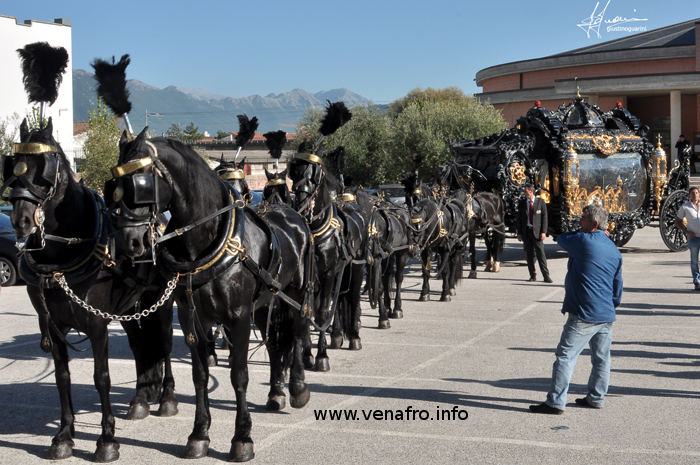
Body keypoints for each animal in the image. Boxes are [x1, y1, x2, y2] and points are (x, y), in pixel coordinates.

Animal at [2, 118, 176, 458]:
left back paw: (166, 399)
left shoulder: (96, 324)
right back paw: (140, 398)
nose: (21, 221)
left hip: (161, 303)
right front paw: (63, 436)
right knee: (140, 347)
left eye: (46, 166)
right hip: (130, 309)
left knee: (163, 345)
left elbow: (101, 377)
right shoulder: (54, 326)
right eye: (14, 164)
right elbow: (62, 377)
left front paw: (106, 440)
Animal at [108, 129, 312, 458]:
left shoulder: (238, 318)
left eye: (141, 184)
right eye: (114, 185)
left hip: (297, 292)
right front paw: (199, 434)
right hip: (264, 304)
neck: (205, 243)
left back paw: (297, 388)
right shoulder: (193, 319)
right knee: (273, 343)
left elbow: (239, 375)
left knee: (296, 332)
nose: (130, 241)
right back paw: (275, 392)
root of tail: (292, 214)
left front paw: (242, 438)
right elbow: (200, 375)